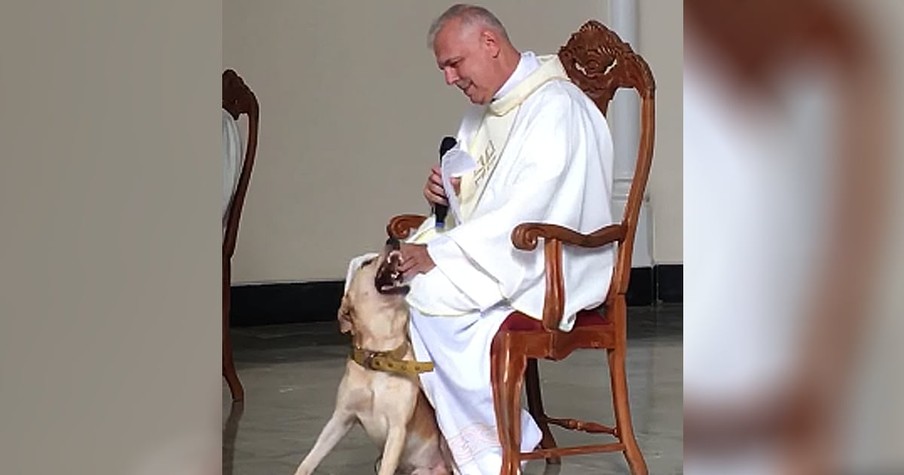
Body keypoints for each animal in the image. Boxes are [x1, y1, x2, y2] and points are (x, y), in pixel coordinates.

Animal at [294, 242, 452, 475]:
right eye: (367, 262)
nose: (393, 240)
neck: (378, 357)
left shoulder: (397, 427)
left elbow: (387, 466)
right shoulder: (341, 418)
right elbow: (310, 459)